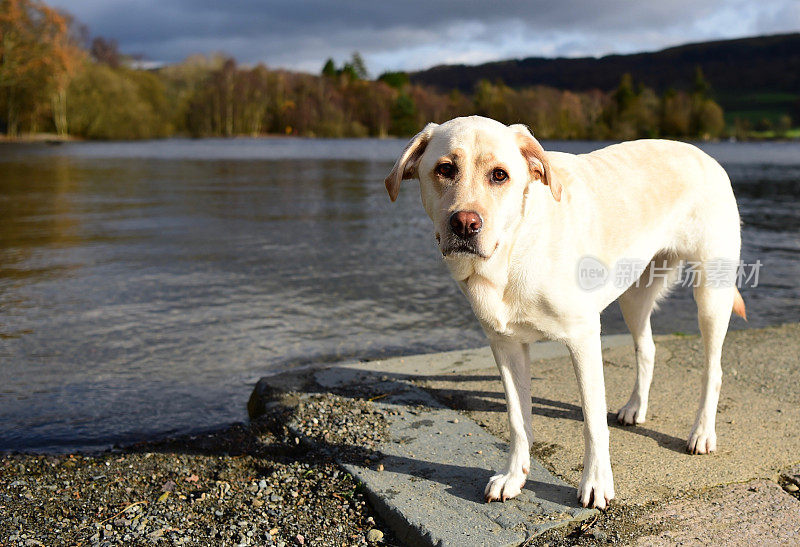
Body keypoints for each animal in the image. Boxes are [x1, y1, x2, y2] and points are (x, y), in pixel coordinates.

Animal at [384, 115, 748, 510]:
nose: (465, 223)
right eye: (445, 169)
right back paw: (635, 408)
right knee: (648, 348)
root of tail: (704, 154)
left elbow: (592, 422)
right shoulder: (505, 345)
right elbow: (517, 419)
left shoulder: (584, 338)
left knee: (714, 371)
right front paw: (513, 477)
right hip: (634, 295)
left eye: (500, 175)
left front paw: (597, 483)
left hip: (711, 294)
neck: (513, 251)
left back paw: (702, 432)